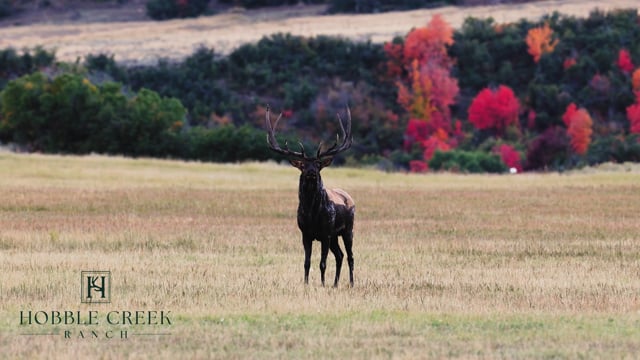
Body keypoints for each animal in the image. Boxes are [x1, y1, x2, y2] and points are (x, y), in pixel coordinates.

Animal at [264, 105, 356, 288]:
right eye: (303, 165)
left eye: (318, 164)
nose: (312, 172)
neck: (312, 214)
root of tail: (350, 197)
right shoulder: (305, 233)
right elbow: (306, 262)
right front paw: (306, 284)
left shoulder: (326, 233)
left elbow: (322, 263)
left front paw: (322, 284)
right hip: (335, 236)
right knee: (340, 255)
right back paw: (335, 284)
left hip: (348, 229)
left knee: (350, 256)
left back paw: (351, 283)